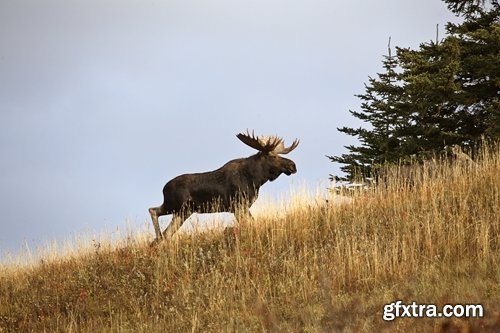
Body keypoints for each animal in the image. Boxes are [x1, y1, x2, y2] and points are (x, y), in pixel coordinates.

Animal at [146, 130, 298, 241]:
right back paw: (158, 237)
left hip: (183, 212)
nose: (293, 165)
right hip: (175, 206)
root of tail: (164, 188)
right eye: (272, 156)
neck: (255, 180)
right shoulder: (238, 205)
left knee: (167, 231)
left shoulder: (242, 206)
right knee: (153, 210)